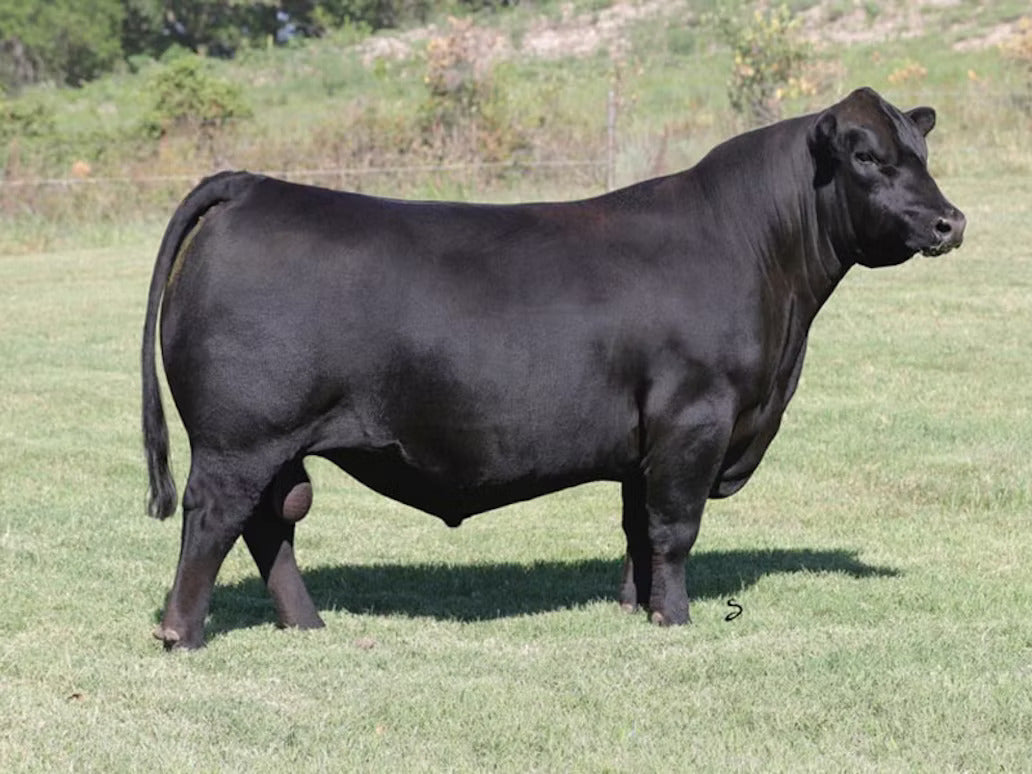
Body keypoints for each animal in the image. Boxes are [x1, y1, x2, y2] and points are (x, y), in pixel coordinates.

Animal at [142, 87, 965, 649]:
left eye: (922, 156)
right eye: (867, 157)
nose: (949, 221)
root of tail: (254, 184)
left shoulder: (647, 441)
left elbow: (637, 527)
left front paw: (635, 608)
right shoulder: (695, 419)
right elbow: (674, 528)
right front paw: (676, 618)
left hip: (274, 444)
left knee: (271, 523)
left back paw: (307, 625)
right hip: (242, 436)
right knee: (214, 515)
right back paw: (180, 632)